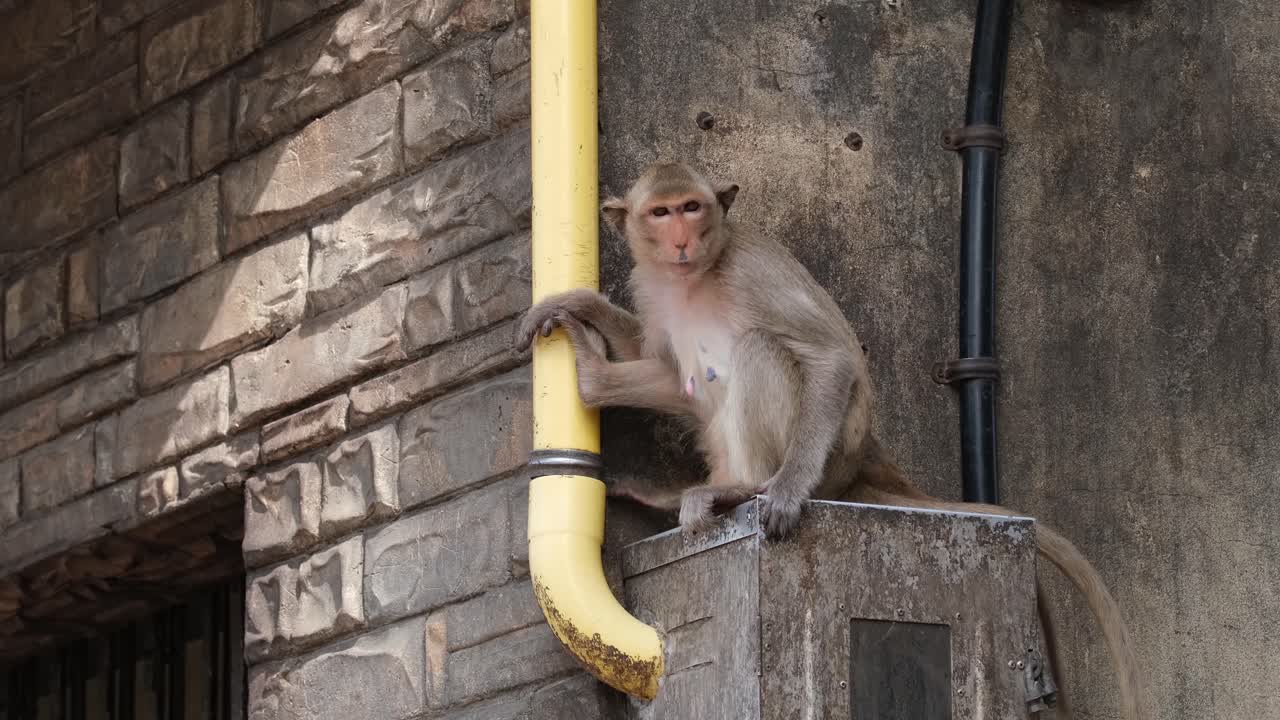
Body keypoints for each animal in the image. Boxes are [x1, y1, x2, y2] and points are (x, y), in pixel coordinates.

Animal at [515, 162, 1150, 720]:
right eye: (661, 212)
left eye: (692, 208)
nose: (681, 239)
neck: (693, 279)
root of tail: (863, 455)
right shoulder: (650, 288)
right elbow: (673, 374)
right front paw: (583, 311)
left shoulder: (752, 271)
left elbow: (832, 357)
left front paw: (787, 492)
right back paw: (639, 439)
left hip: (828, 449)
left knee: (760, 349)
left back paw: (742, 488)